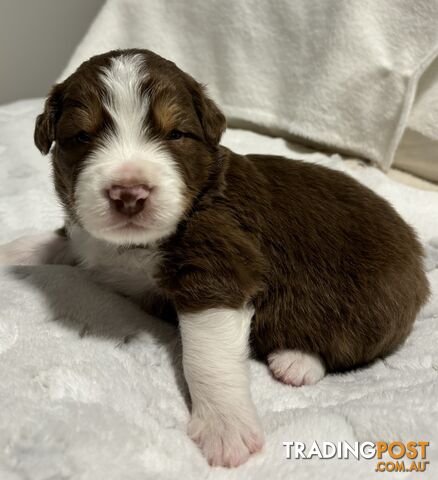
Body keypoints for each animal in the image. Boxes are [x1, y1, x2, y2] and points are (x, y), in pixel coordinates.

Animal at [1, 49, 430, 468]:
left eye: (176, 134)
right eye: (80, 136)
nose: (129, 194)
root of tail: (418, 254)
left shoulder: (217, 267)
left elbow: (207, 356)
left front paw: (224, 429)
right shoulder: (89, 235)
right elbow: (63, 240)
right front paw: (14, 251)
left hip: (372, 307)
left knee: (347, 345)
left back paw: (296, 361)